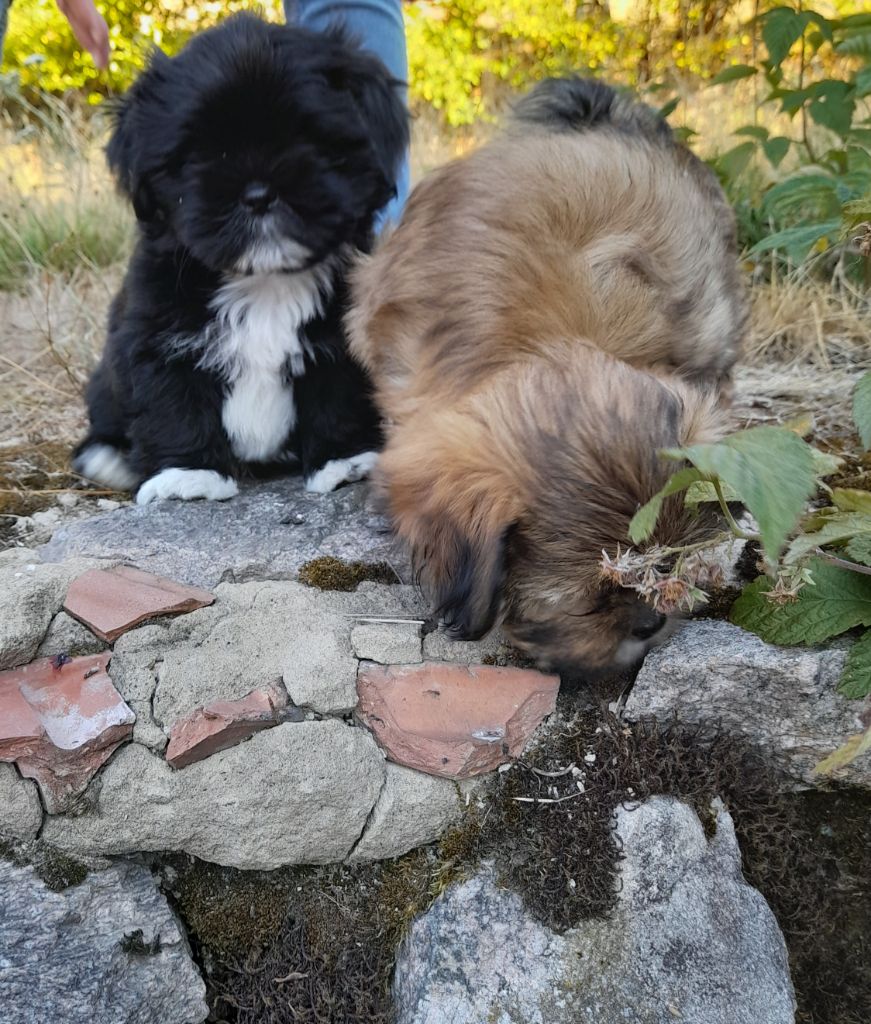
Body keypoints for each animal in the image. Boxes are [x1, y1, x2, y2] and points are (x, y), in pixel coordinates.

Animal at [73, 13, 408, 504]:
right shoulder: (154, 334)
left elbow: (337, 392)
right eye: (196, 154)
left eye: (310, 140)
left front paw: (344, 460)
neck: (263, 279)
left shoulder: (342, 336)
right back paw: (108, 457)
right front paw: (188, 475)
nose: (258, 193)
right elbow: (173, 399)